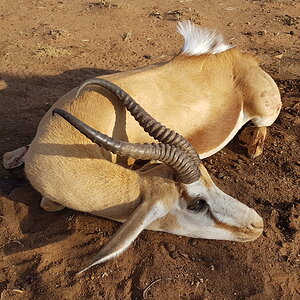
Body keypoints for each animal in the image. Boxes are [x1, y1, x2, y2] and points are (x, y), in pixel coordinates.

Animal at [2, 22, 280, 274]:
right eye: (197, 204)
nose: (257, 224)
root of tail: (236, 56)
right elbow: (12, 164)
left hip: (263, 115)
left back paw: (255, 148)